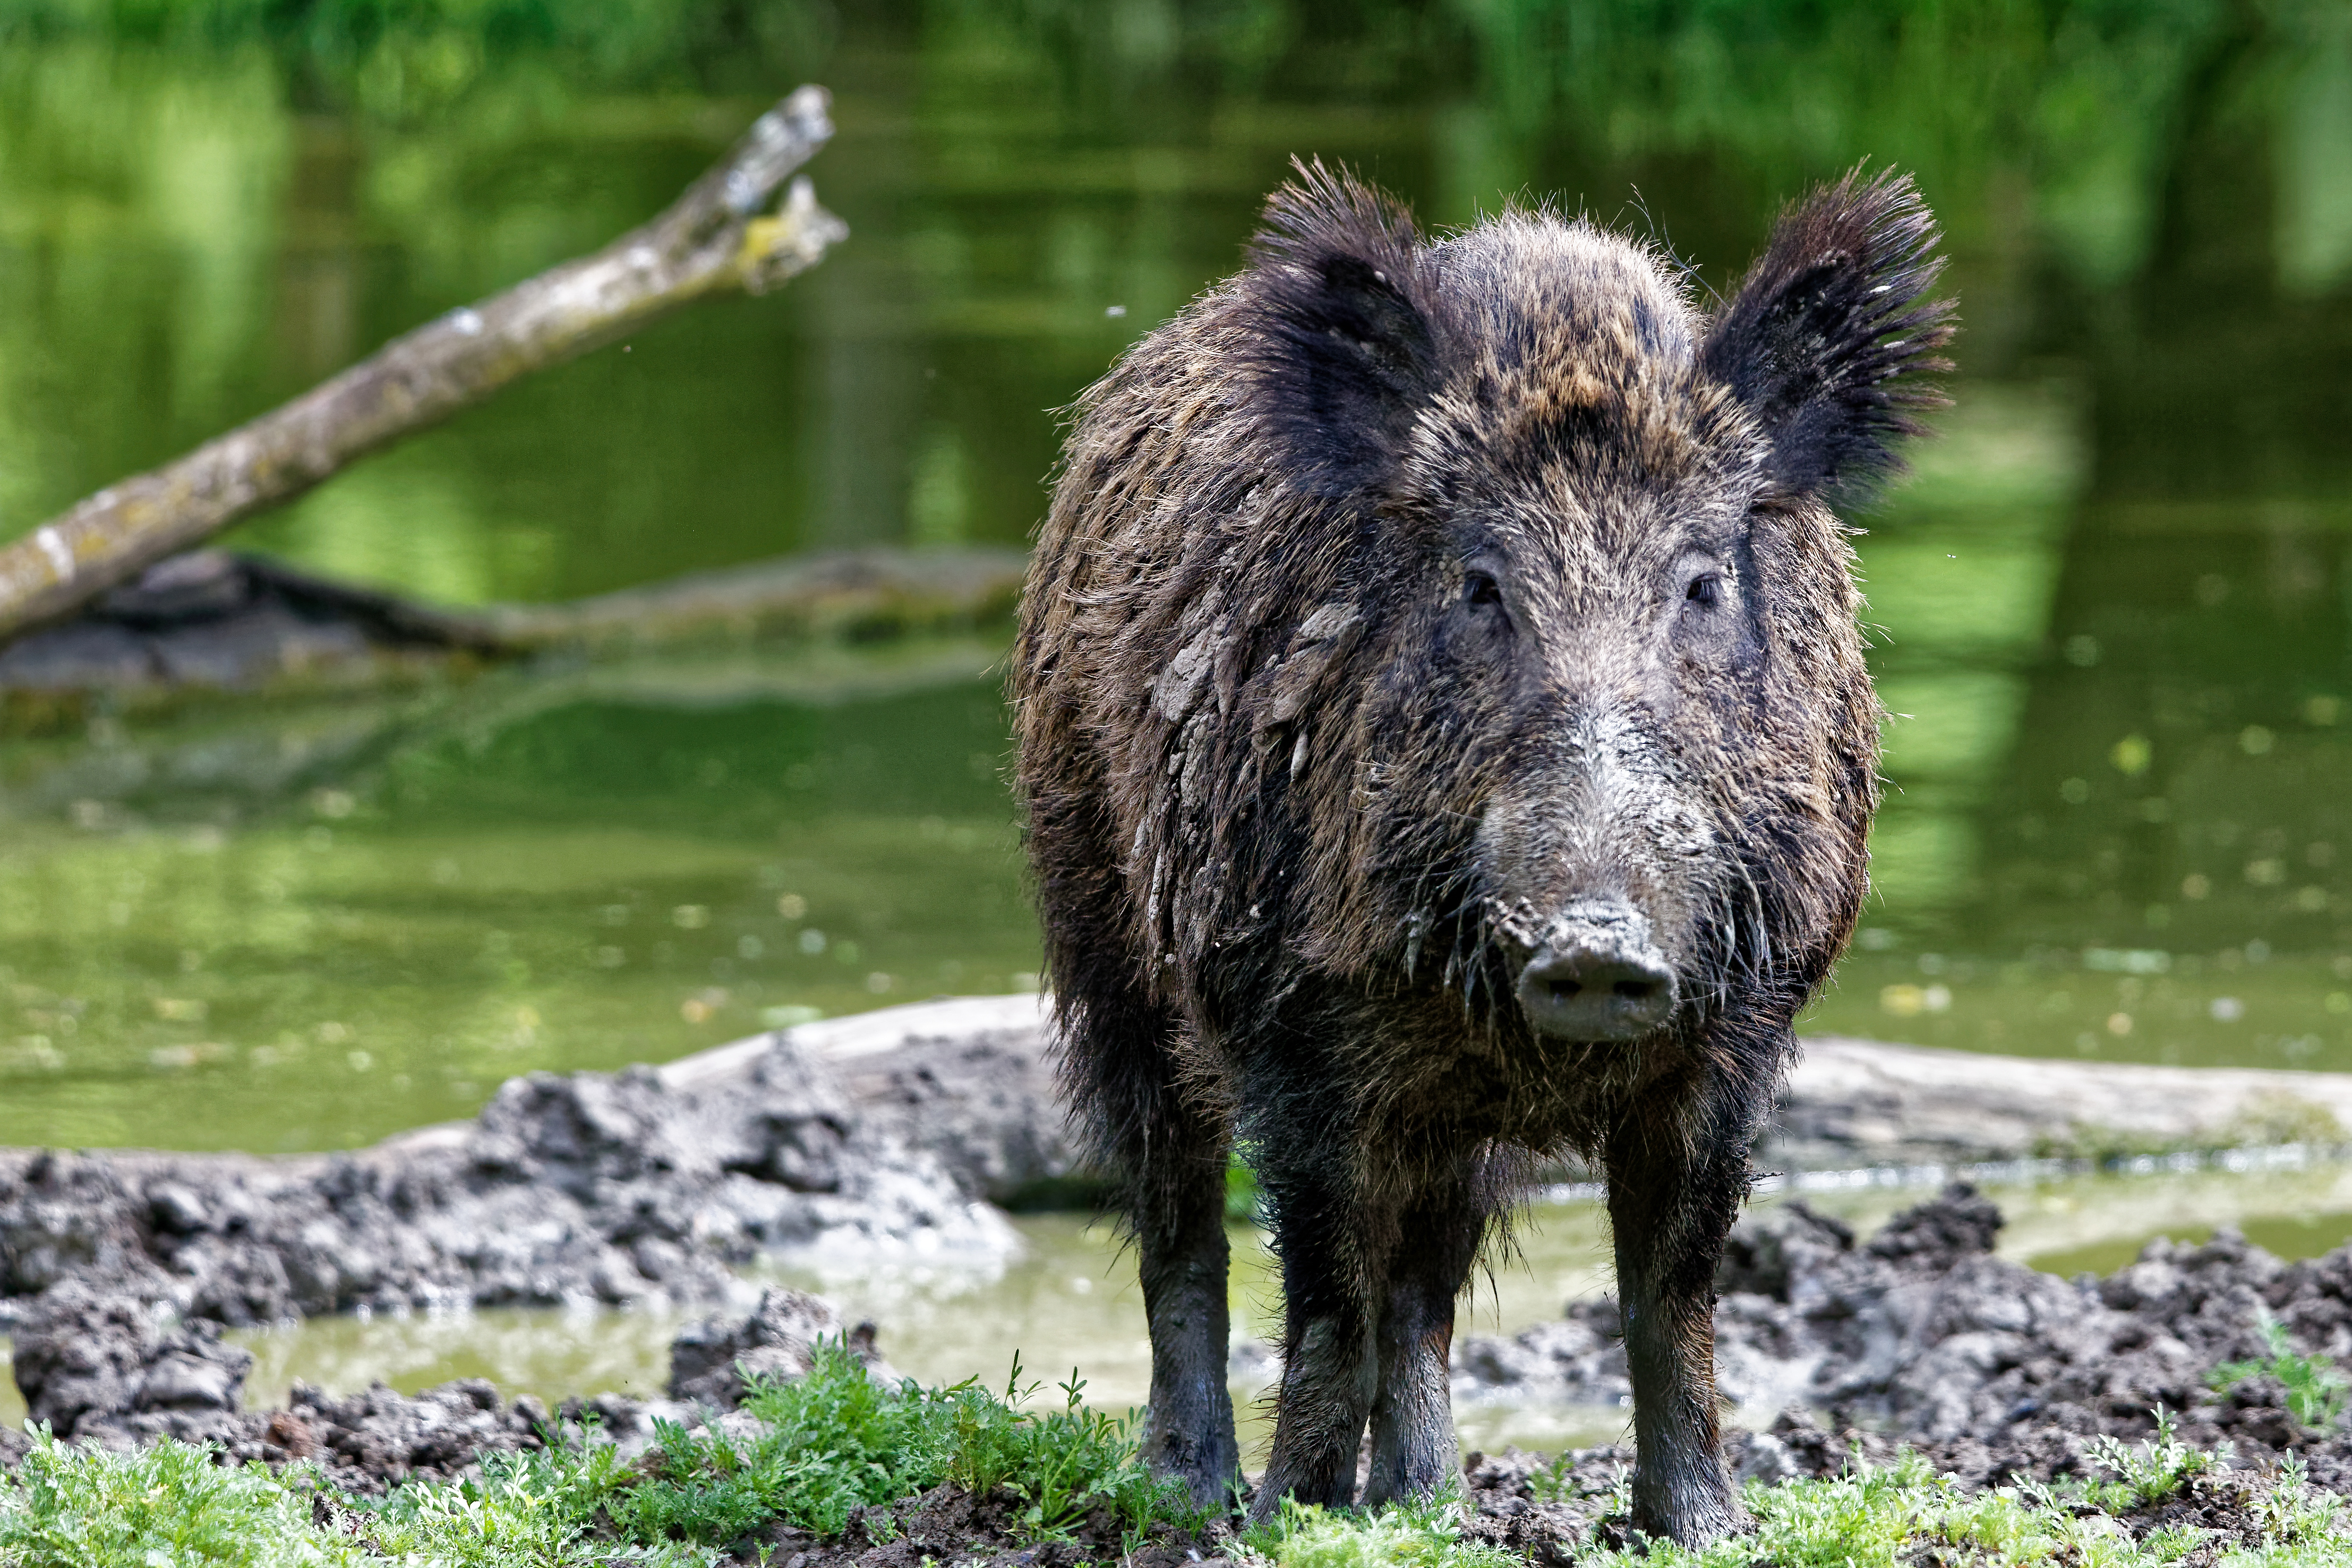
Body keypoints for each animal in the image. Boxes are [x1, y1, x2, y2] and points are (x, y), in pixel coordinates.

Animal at [1010, 162, 1952, 1545]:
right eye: (1478, 587)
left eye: (1700, 586)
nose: (1596, 942)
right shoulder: (1291, 1019)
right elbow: (1323, 1287)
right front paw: (1292, 1520)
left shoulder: (1742, 1026)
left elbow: (1671, 1290)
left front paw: (1705, 1529)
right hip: (1096, 912)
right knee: (1178, 1208)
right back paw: (1196, 1489)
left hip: (1446, 1123)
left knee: (1426, 1278)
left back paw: (1427, 1500)